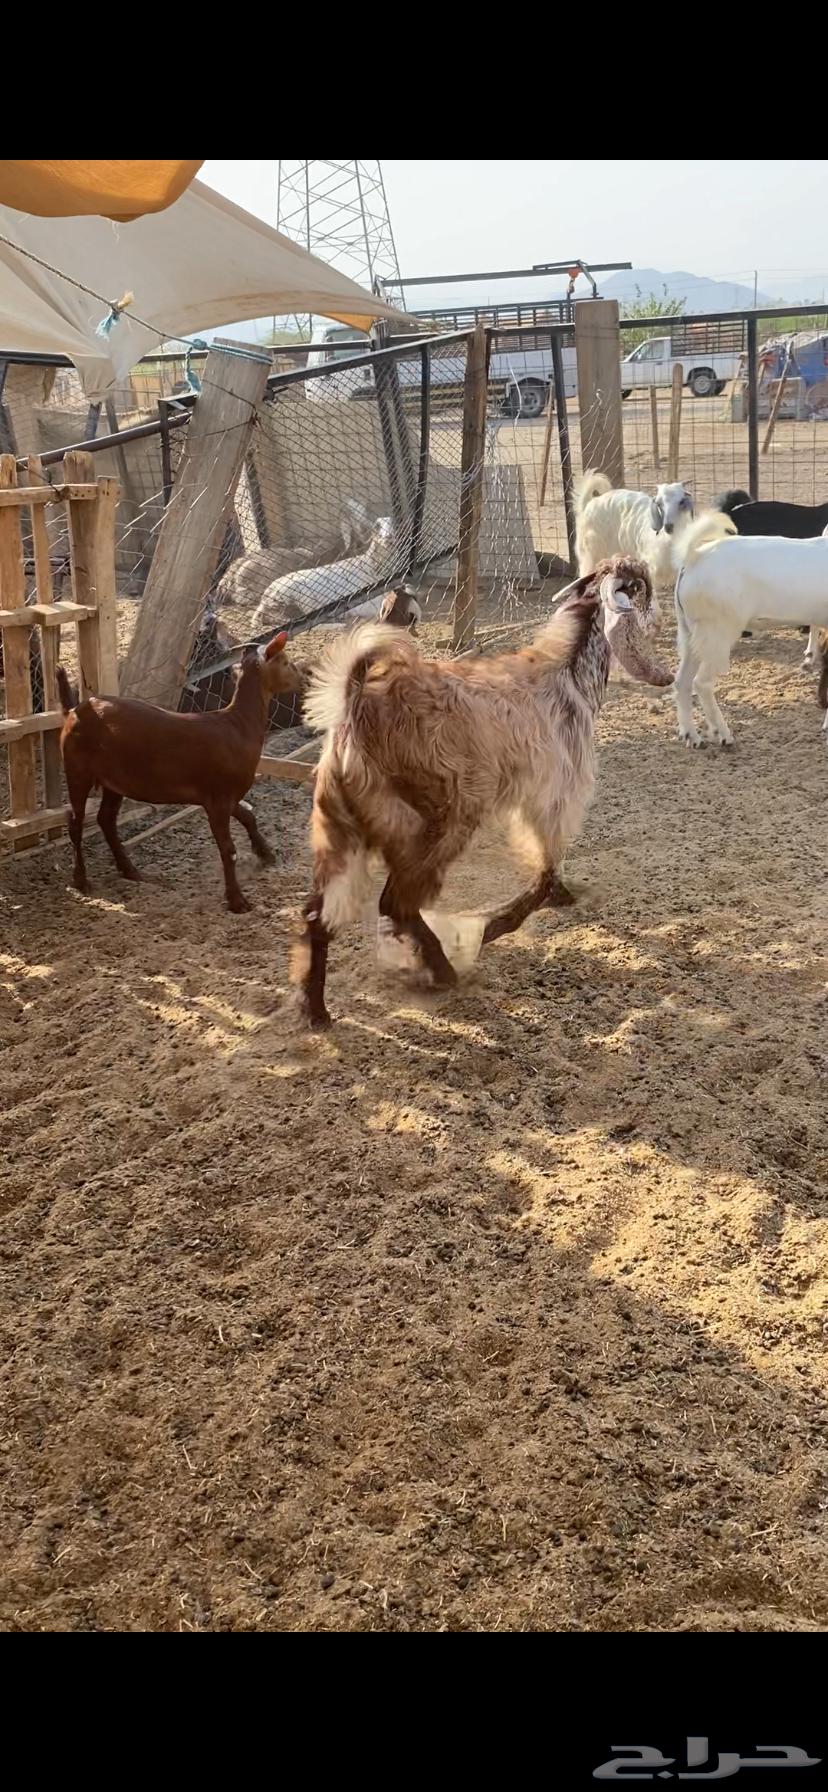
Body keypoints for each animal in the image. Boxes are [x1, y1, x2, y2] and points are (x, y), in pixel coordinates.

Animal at [57, 634, 307, 912]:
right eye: (285, 662)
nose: (303, 679)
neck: (239, 726)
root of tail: (73, 712)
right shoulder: (217, 797)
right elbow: (228, 849)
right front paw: (237, 901)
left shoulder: (224, 795)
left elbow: (248, 817)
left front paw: (266, 854)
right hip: (77, 769)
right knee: (76, 822)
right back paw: (81, 880)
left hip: (114, 780)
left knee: (106, 819)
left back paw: (130, 871)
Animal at [293, 557, 672, 1027]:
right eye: (640, 591)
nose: (660, 617)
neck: (566, 671)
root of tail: (355, 708)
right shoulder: (553, 799)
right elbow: (546, 874)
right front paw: (496, 926)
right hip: (437, 821)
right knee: (395, 903)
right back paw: (443, 970)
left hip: (340, 831)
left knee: (321, 913)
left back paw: (316, 1008)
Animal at [673, 512, 828, 747]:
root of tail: (694, 557)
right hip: (717, 630)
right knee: (702, 683)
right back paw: (724, 735)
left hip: (691, 632)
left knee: (682, 681)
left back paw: (692, 736)